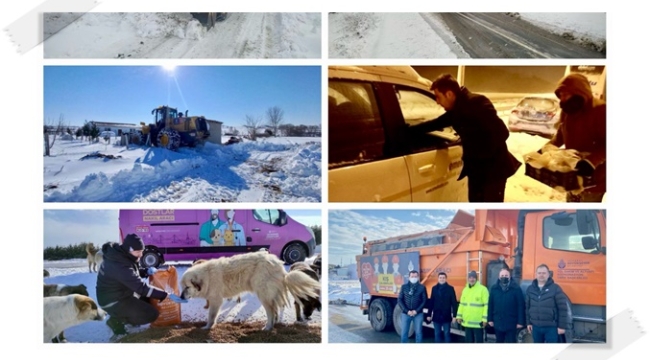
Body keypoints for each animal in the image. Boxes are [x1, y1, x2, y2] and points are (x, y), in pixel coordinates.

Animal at [178, 250, 320, 332]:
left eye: (187, 287)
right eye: (182, 287)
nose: (181, 297)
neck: (206, 276)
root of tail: (280, 267)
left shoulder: (215, 301)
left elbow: (211, 316)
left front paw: (207, 327)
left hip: (263, 295)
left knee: (271, 311)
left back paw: (267, 328)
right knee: (274, 310)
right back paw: (272, 326)